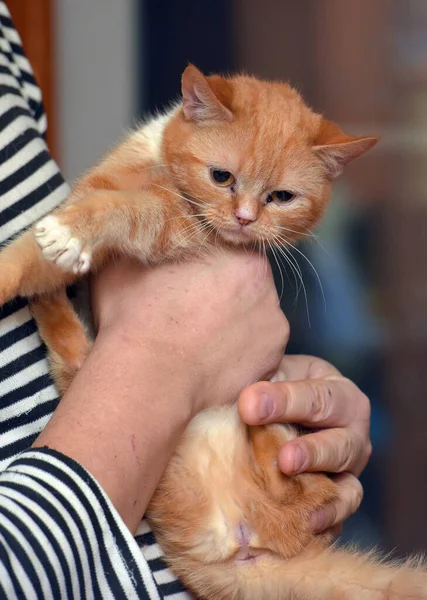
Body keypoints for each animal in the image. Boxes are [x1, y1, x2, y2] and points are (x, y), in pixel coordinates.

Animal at [0, 63, 422, 596]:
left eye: (281, 197)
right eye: (222, 177)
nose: (244, 218)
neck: (159, 165)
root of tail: (245, 554)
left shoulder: (170, 226)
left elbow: (125, 209)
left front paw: (75, 230)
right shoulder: (96, 194)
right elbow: (30, 253)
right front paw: (20, 268)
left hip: (289, 478)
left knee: (299, 485)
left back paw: (261, 420)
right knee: (70, 347)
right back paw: (47, 303)